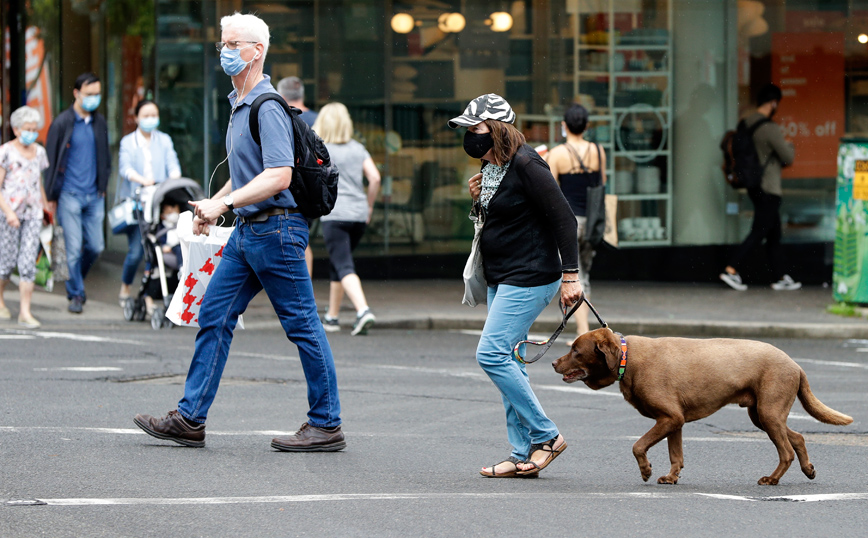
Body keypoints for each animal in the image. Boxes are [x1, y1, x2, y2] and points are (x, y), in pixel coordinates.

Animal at [552, 328, 852, 484]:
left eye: (576, 350)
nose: (553, 362)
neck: (629, 359)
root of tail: (796, 364)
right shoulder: (674, 421)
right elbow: (676, 455)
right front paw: (671, 477)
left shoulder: (669, 418)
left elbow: (638, 445)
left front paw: (646, 470)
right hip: (762, 414)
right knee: (798, 437)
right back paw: (808, 470)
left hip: (768, 412)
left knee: (786, 450)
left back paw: (772, 479)